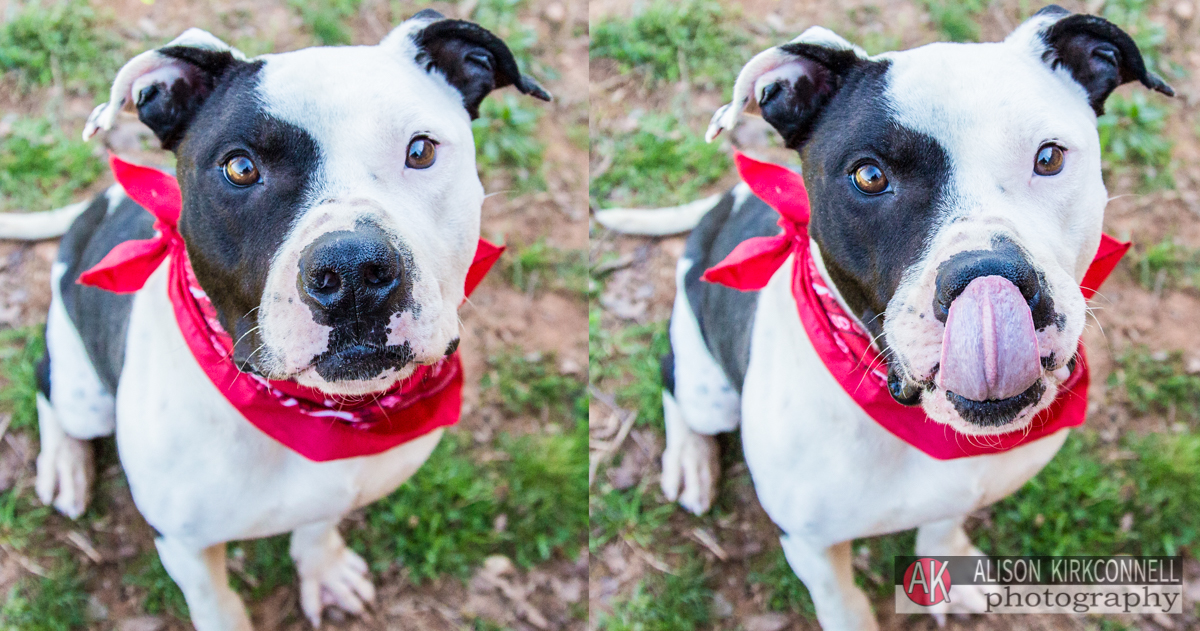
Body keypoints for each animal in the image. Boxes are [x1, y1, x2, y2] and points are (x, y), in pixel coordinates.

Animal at [0, 11, 549, 631]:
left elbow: (316, 527)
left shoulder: (336, 491)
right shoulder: (184, 543)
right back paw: (64, 464)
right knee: (47, 381)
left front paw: (324, 568)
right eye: (240, 168)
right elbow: (217, 603)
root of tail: (97, 207)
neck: (309, 414)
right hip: (84, 393)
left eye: (421, 150)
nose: (354, 270)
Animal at [597, 7, 1171, 628]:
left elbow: (941, 525)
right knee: (673, 378)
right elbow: (843, 601)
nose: (990, 276)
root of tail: (720, 207)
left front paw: (947, 573)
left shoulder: (963, 489)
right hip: (709, 387)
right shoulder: (810, 542)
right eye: (869, 176)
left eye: (1050, 158)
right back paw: (690, 459)